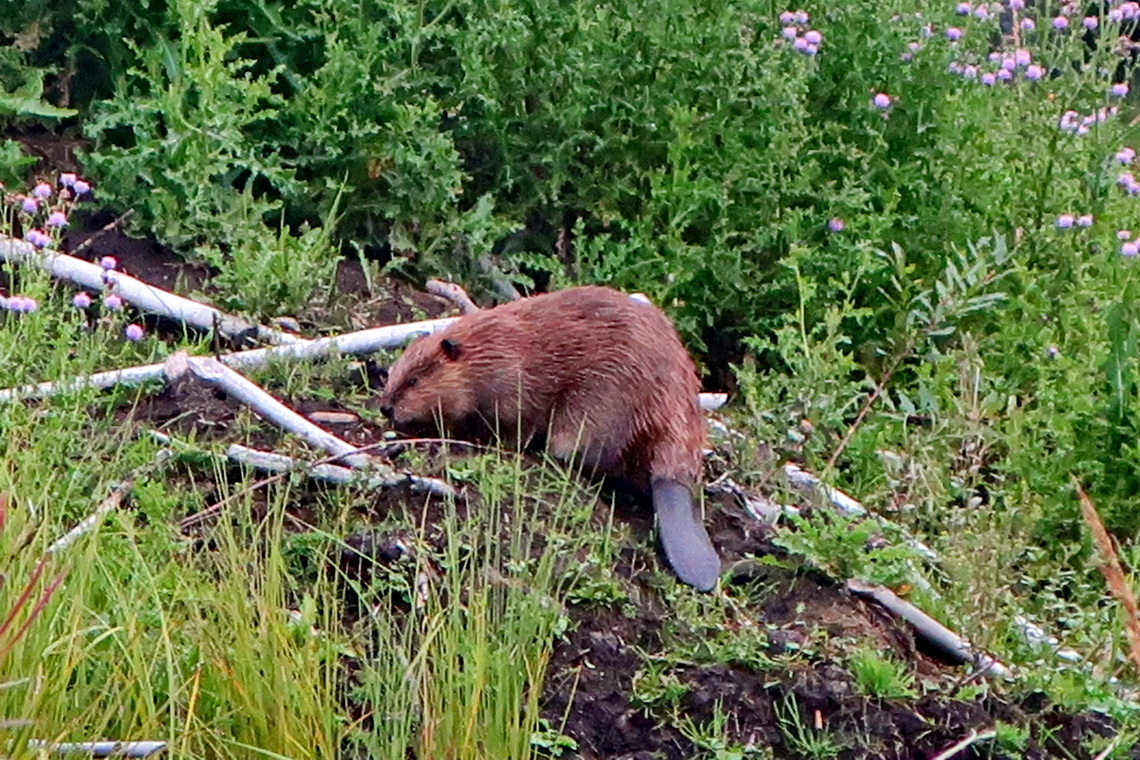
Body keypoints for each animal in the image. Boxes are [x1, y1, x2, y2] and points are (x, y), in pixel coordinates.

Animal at [383, 288, 720, 592]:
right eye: (394, 373)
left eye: (413, 380)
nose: (386, 406)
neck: (489, 347)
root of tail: (673, 476)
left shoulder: (512, 383)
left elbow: (514, 424)